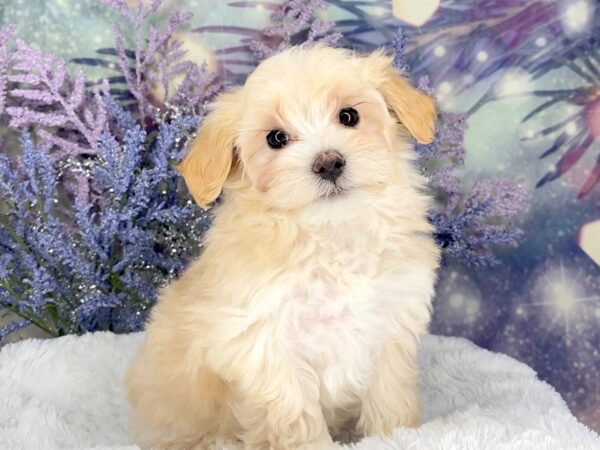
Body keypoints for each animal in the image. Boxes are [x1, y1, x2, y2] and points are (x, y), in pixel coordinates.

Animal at [124, 43, 438, 450]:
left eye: (349, 116)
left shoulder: (392, 323)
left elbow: (390, 395)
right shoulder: (264, 345)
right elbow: (292, 416)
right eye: (276, 138)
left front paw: (395, 434)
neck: (331, 233)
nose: (329, 163)